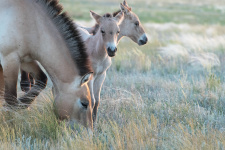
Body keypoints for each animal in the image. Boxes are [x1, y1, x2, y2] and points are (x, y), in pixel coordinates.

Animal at [0, 0, 93, 129]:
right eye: (85, 103)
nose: (89, 131)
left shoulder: (25, 60)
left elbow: (41, 80)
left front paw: (23, 103)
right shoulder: (10, 60)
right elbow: (11, 99)